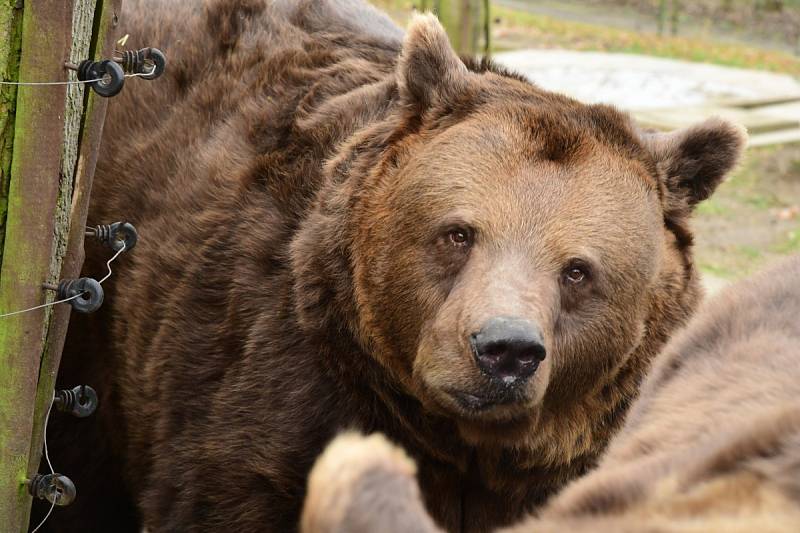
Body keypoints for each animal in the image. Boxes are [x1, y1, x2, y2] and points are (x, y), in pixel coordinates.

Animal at [42, 1, 744, 532]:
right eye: (458, 233)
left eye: (577, 270)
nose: (505, 350)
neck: (456, 444)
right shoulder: (270, 394)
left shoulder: (563, 471)